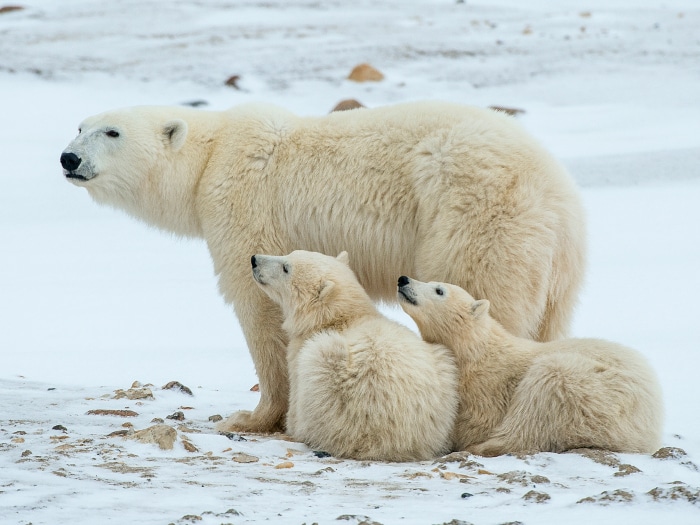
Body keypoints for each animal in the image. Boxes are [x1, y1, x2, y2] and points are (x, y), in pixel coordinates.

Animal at [60, 100, 584, 432]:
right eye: (80, 126)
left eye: (112, 132)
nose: (68, 157)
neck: (210, 157)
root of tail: (555, 195)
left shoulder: (245, 204)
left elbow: (260, 305)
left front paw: (253, 417)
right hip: (558, 267)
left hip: (473, 218)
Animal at [252, 250, 460, 458]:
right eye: (289, 254)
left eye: (286, 268)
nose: (254, 260)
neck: (341, 317)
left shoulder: (300, 351)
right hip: (443, 368)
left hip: (327, 378)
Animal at [396, 274, 664, 454]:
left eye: (439, 290)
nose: (403, 279)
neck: (476, 353)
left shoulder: (488, 387)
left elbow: (477, 422)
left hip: (596, 391)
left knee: (538, 403)